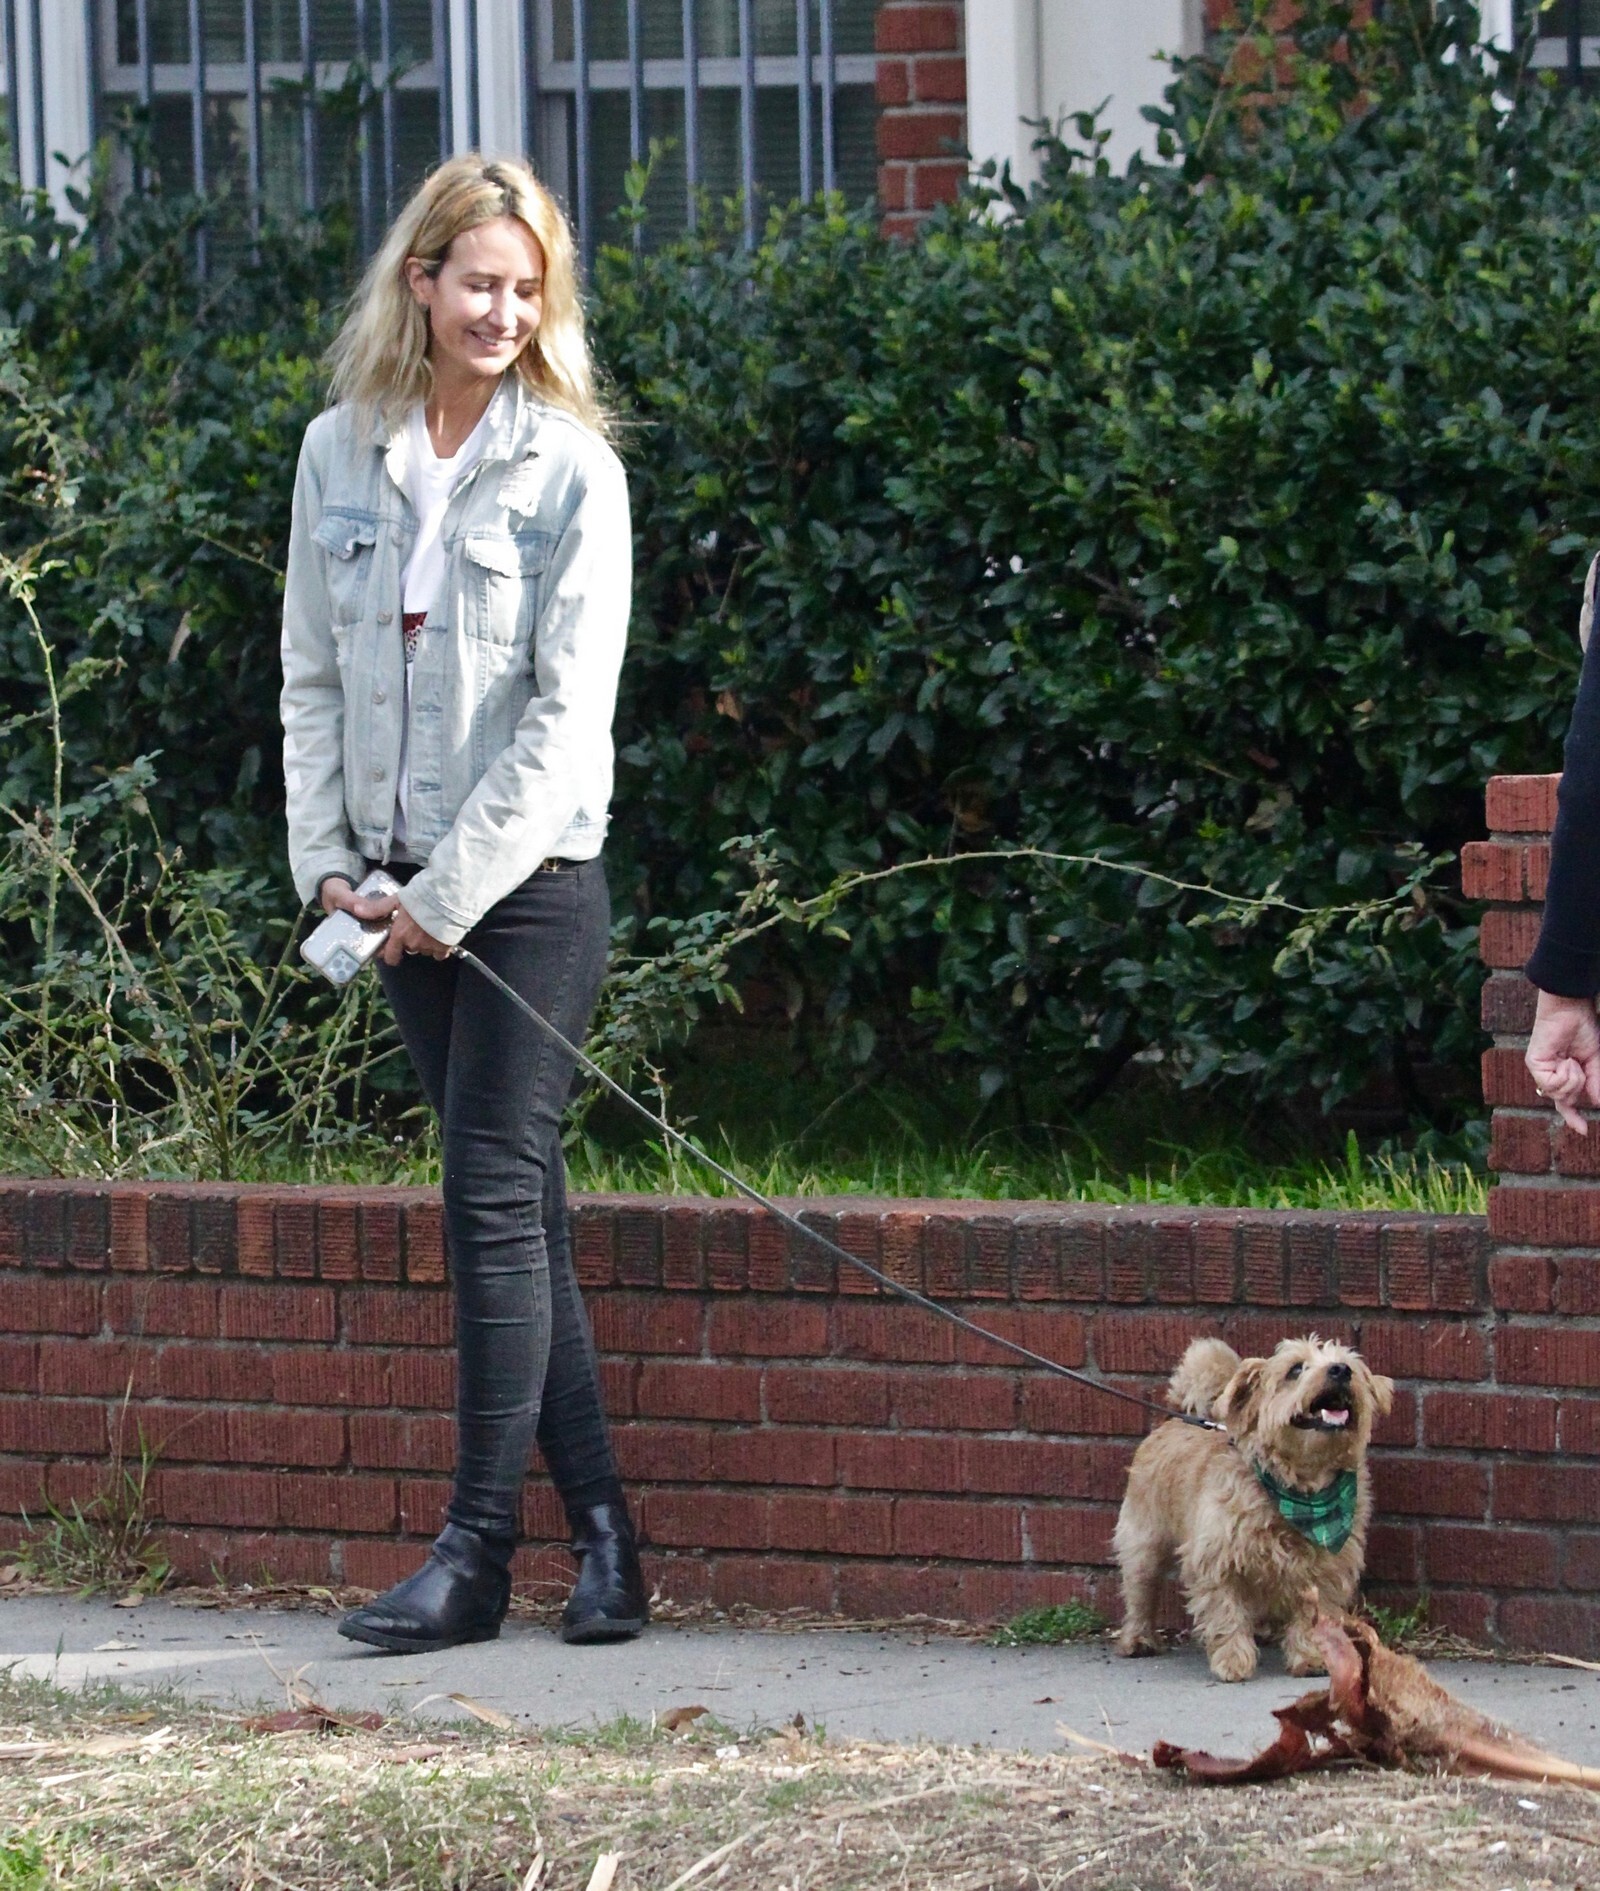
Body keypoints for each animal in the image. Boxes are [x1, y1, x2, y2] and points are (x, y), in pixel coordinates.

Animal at [1113, 1335, 1393, 1682]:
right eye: (1295, 1369)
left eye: (1349, 1364)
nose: (1340, 1370)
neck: (1299, 1488)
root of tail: (1175, 1419)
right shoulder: (1216, 1562)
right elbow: (1226, 1612)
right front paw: (1233, 1660)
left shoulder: (1327, 1569)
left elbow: (1313, 1616)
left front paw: (1311, 1657)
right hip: (1144, 1543)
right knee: (1140, 1590)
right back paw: (1138, 1638)